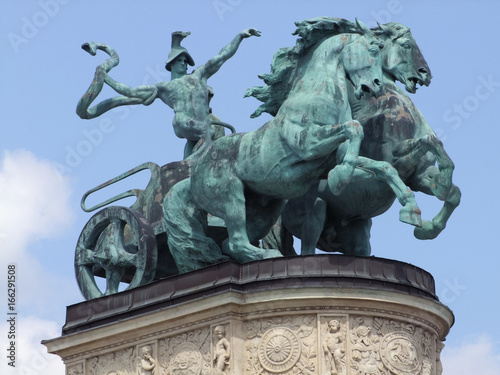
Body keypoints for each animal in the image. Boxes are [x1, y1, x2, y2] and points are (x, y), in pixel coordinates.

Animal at [163, 17, 382, 272]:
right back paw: (270, 255)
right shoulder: (308, 143)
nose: (377, 85)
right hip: (231, 195)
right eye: (373, 50)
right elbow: (354, 127)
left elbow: (374, 162)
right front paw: (340, 178)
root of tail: (192, 177)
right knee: (236, 241)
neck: (316, 94)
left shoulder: (332, 157)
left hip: (265, 209)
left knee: (231, 243)